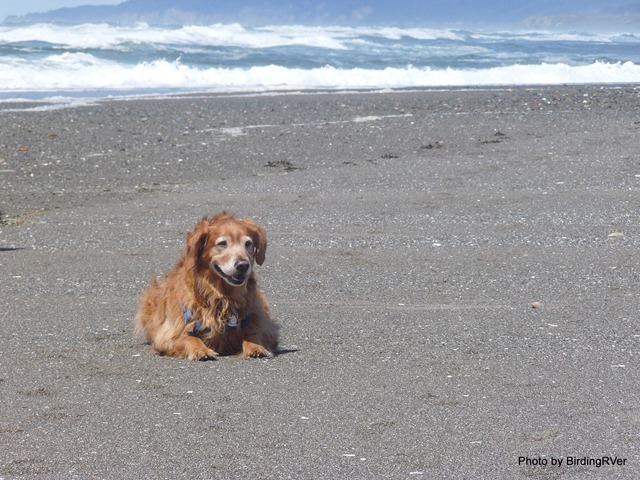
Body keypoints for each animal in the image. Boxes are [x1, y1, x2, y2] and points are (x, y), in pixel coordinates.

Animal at [135, 212, 278, 358]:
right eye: (222, 243)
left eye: (248, 243)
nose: (243, 265)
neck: (223, 296)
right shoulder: (168, 334)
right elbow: (190, 338)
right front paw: (200, 349)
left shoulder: (263, 326)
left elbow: (253, 334)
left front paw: (256, 347)